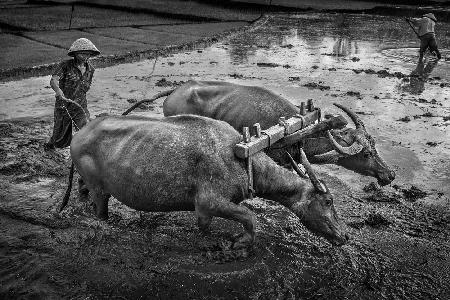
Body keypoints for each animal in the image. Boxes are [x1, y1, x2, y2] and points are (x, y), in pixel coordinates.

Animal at [60, 113, 348, 247]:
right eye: (328, 201)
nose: (345, 235)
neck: (244, 158)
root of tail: (79, 133)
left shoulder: (204, 211)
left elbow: (206, 227)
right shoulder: (209, 202)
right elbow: (251, 217)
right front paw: (240, 242)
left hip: (88, 185)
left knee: (82, 190)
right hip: (100, 193)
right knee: (100, 209)